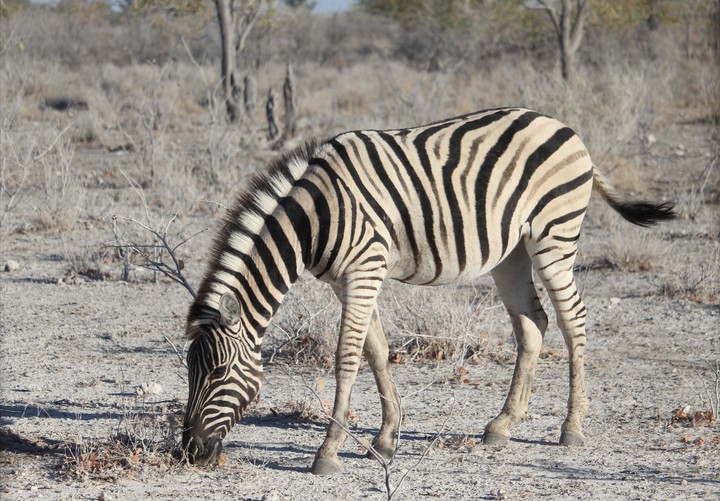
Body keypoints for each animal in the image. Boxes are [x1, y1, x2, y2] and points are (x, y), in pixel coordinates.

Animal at [181, 107, 675, 474]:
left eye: (219, 373)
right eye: (190, 372)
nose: (188, 451)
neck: (317, 217)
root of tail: (564, 126)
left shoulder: (364, 270)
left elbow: (346, 357)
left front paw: (328, 451)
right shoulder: (350, 279)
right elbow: (377, 351)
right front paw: (385, 439)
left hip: (554, 235)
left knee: (574, 320)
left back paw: (571, 428)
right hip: (512, 251)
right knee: (533, 323)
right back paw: (502, 425)